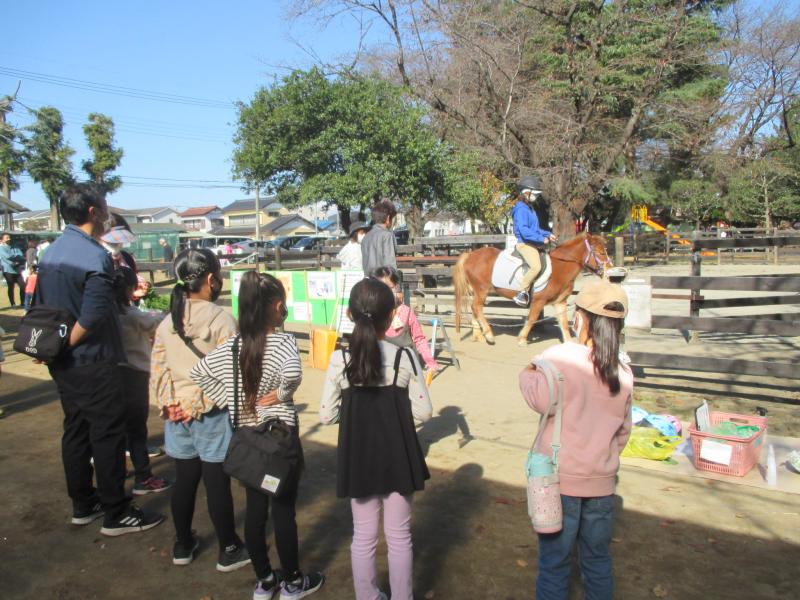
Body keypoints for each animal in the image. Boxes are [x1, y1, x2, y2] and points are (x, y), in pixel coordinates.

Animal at [456, 234, 612, 346]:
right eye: (601, 253)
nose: (609, 270)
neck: (560, 267)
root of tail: (470, 255)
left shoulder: (560, 302)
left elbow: (563, 323)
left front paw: (568, 343)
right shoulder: (539, 301)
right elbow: (532, 318)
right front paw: (522, 339)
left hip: (477, 291)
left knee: (475, 308)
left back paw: (479, 336)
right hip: (482, 289)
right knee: (476, 307)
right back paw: (489, 335)